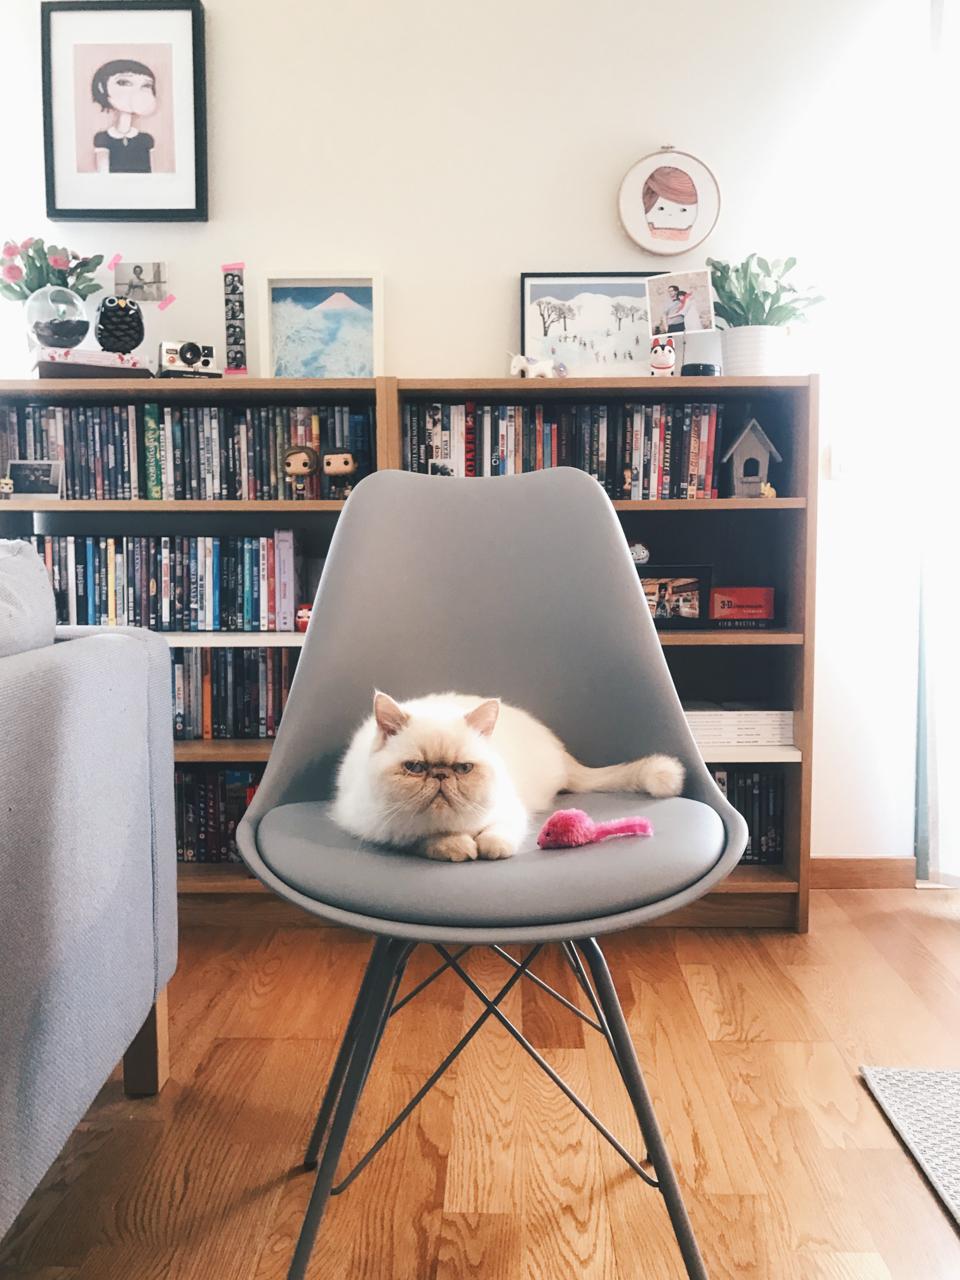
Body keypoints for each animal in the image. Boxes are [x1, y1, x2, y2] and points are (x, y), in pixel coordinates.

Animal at [330, 696, 686, 865]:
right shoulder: (381, 829)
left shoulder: (510, 810)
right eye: (416, 767)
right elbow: (425, 839)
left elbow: (498, 833)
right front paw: (457, 846)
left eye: (463, 769)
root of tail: (561, 752)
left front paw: (488, 847)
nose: (441, 775)